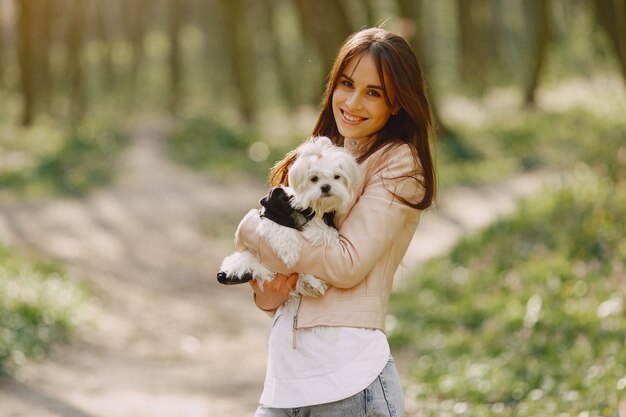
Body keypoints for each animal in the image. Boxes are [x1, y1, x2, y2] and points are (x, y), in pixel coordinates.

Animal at [217, 136, 358, 296]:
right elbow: (282, 230)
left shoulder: (325, 217)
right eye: (314, 178)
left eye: (337, 177)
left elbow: (324, 230)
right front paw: (290, 254)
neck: (312, 206)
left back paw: (312, 283)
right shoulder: (273, 209)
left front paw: (323, 235)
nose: (326, 187)